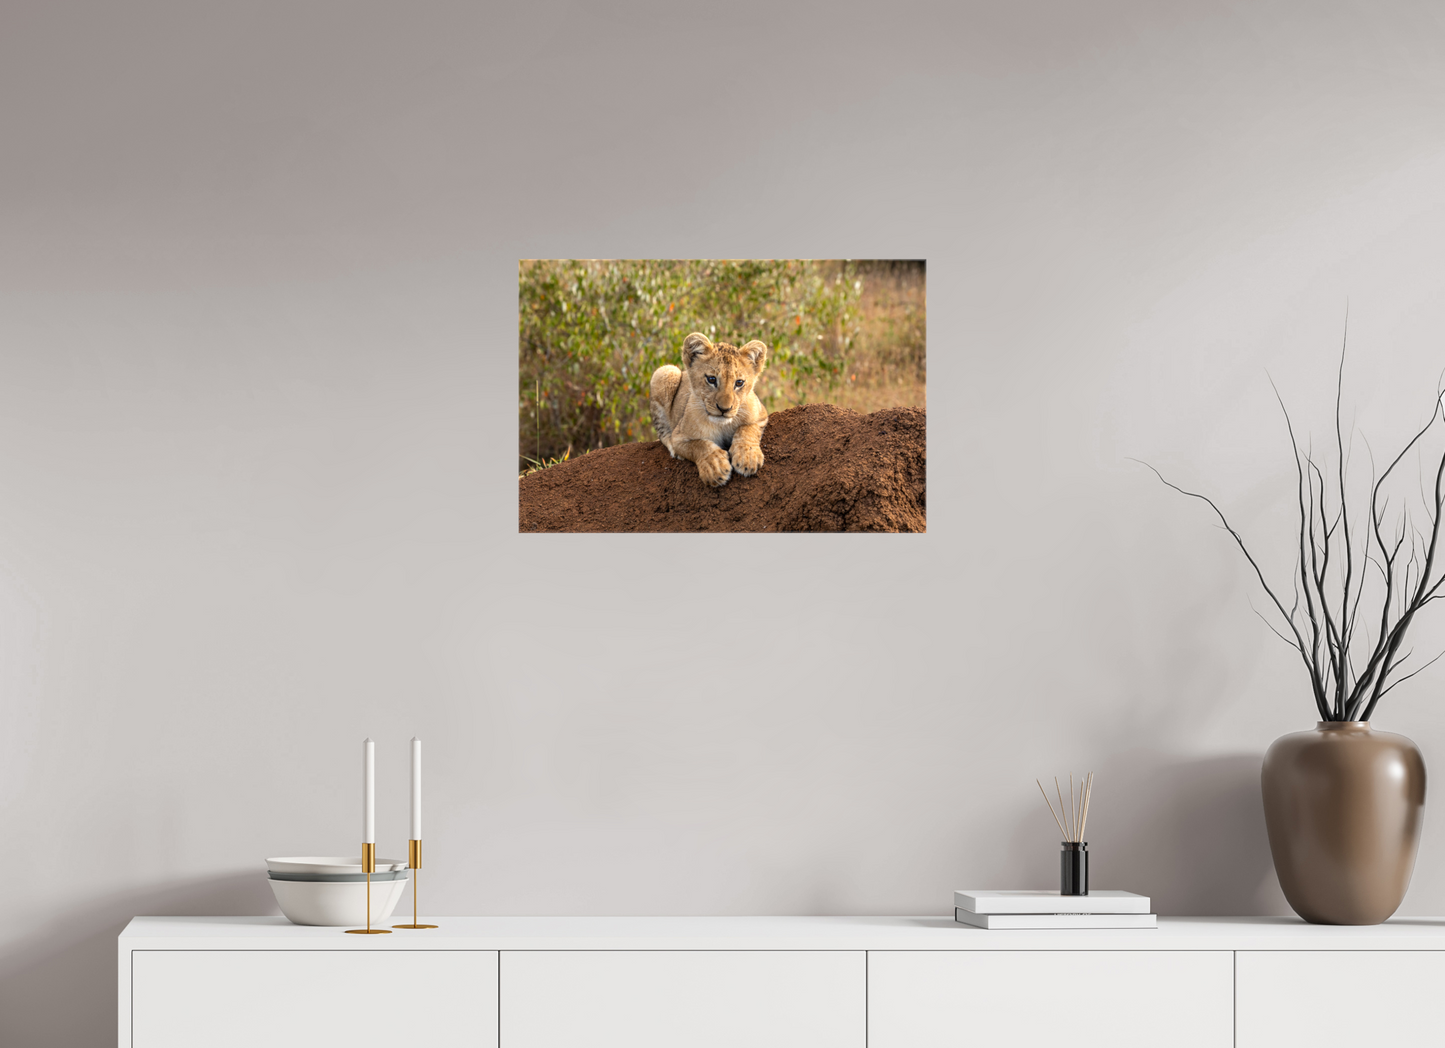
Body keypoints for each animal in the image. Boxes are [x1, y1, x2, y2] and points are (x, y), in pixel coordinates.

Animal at [649, 333, 769, 487]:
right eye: (711, 379)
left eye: (739, 383)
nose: (724, 409)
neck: (722, 425)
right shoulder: (679, 437)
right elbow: (699, 445)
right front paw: (715, 466)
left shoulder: (761, 415)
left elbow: (747, 429)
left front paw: (747, 457)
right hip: (665, 372)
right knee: (662, 431)